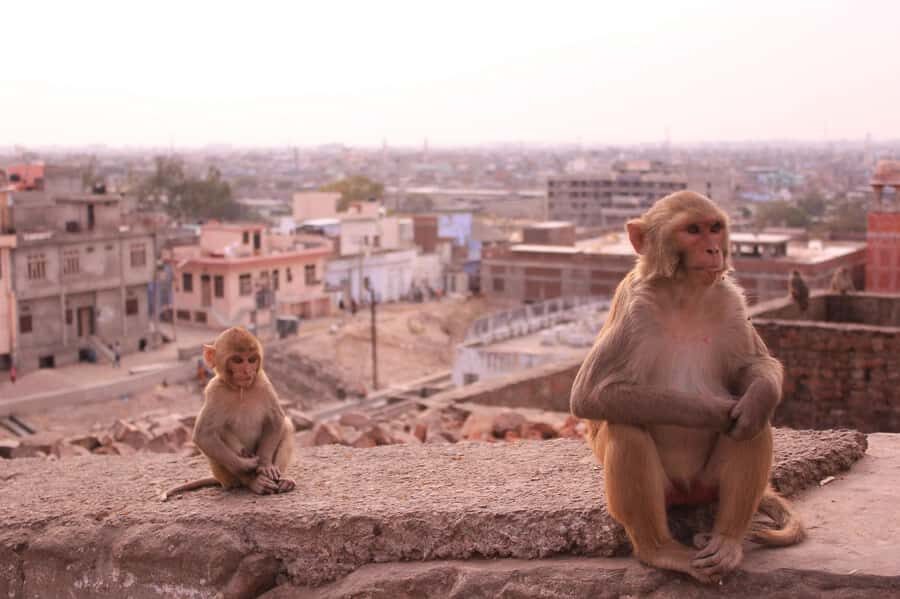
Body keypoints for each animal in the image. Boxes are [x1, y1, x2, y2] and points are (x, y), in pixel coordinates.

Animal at [162, 327, 296, 500]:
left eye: (251, 360)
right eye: (238, 360)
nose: (247, 370)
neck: (241, 390)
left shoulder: (263, 383)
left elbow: (276, 420)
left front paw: (266, 464)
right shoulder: (214, 390)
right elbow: (203, 435)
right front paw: (247, 465)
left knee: (286, 426)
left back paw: (282, 479)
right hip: (225, 477)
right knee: (218, 433)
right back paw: (254, 481)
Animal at [570, 191, 804, 584]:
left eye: (715, 227)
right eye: (692, 230)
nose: (713, 250)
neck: (684, 294)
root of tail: (687, 493)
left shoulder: (730, 301)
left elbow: (754, 368)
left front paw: (755, 399)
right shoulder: (633, 307)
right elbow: (590, 395)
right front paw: (714, 410)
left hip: (707, 485)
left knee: (755, 427)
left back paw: (727, 541)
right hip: (667, 492)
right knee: (625, 429)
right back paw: (660, 550)